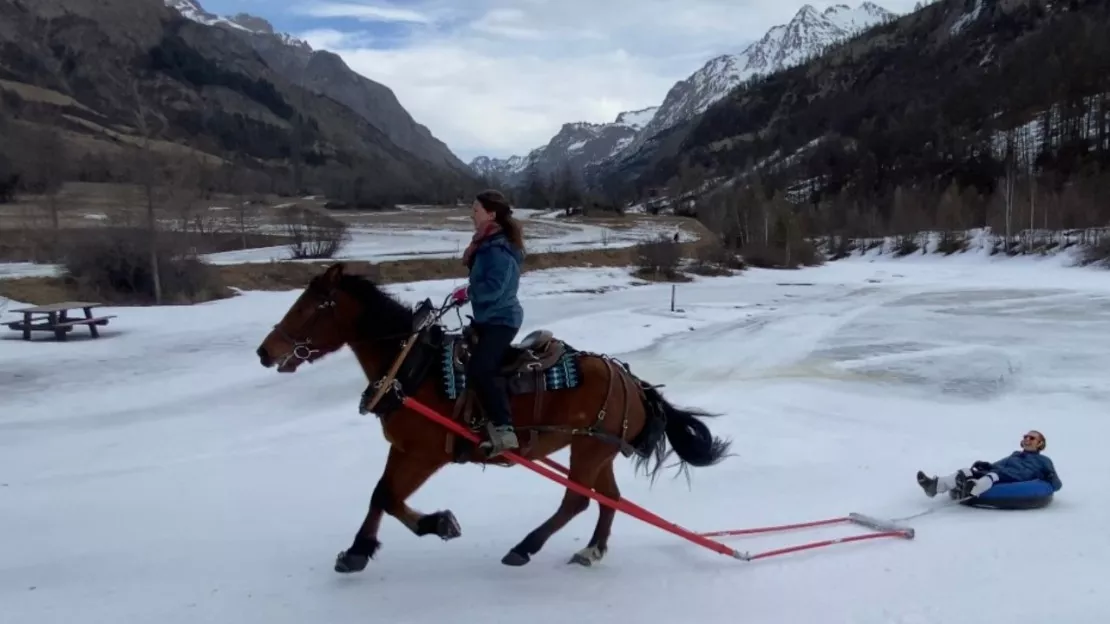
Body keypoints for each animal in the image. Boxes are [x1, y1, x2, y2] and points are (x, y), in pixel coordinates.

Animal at [255, 259, 732, 572]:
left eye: (309, 307)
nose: (264, 351)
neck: (413, 367)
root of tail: (632, 381)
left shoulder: (426, 453)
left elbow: (388, 497)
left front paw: (436, 524)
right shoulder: (404, 448)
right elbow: (379, 495)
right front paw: (359, 550)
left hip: (589, 448)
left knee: (577, 500)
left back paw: (526, 546)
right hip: (596, 449)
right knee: (607, 498)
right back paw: (592, 549)